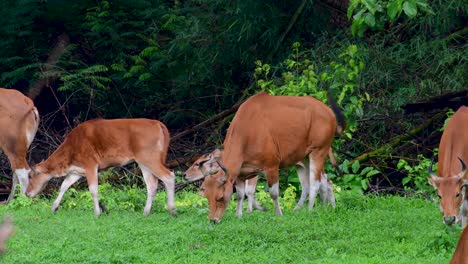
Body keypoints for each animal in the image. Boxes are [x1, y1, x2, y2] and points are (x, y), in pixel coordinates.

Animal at [26, 118, 176, 216]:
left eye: (30, 176)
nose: (27, 193)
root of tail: (157, 123)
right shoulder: (77, 171)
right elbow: (64, 185)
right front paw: (54, 207)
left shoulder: (91, 165)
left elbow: (93, 189)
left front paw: (97, 212)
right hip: (142, 163)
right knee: (151, 184)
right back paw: (146, 212)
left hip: (150, 158)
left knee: (169, 176)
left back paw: (172, 209)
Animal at [199, 91, 346, 223]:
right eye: (207, 197)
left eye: (220, 197)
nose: (213, 220)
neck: (248, 130)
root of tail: (329, 112)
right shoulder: (240, 173)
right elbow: (240, 195)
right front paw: (239, 215)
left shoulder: (271, 165)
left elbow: (273, 193)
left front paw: (278, 214)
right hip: (306, 157)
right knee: (323, 182)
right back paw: (325, 208)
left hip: (319, 151)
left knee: (314, 183)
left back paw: (310, 210)